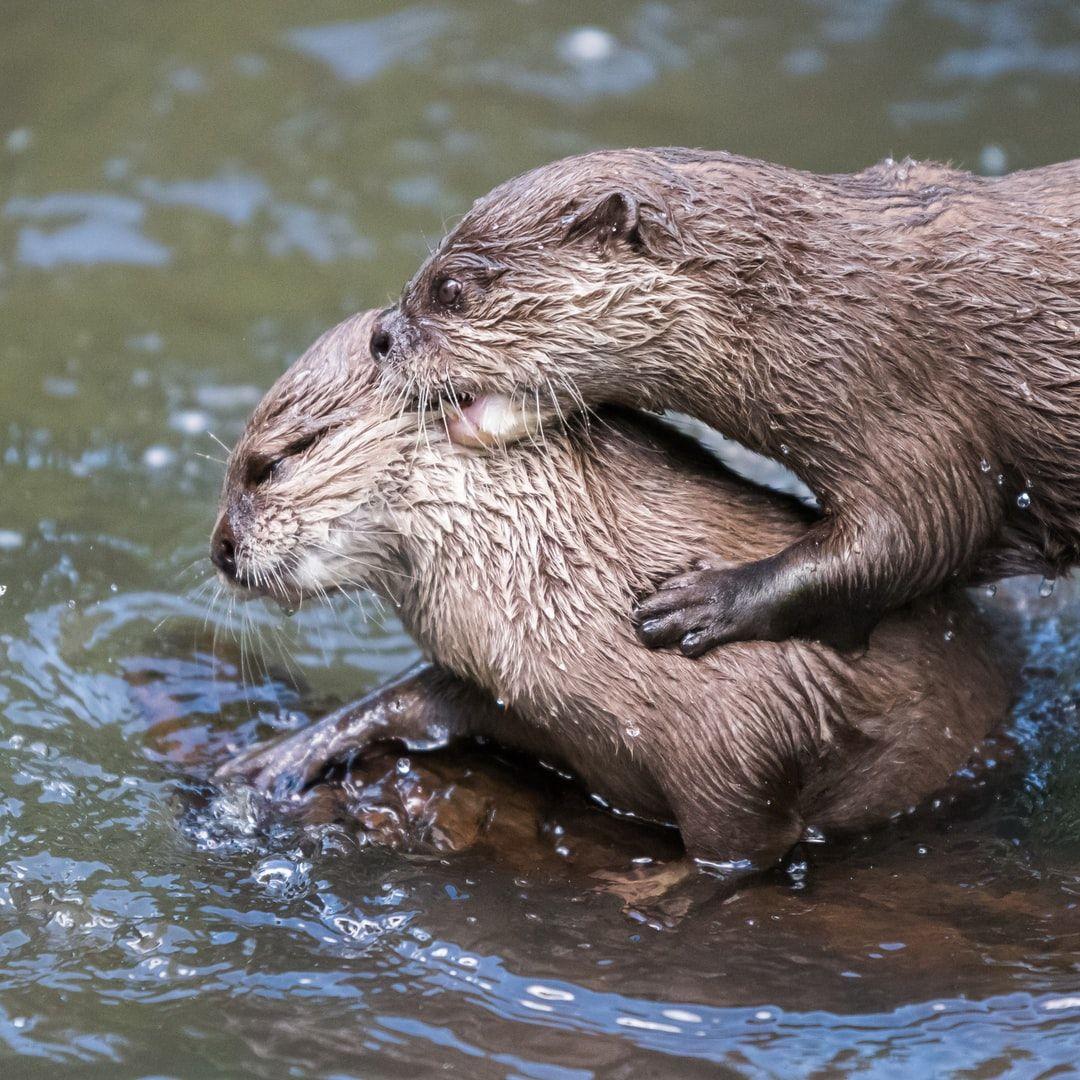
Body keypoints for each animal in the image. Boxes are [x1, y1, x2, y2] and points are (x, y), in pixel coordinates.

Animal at [210, 310, 1010, 875]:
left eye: (274, 462)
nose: (219, 547)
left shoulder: (746, 733)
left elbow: (742, 850)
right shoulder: (514, 685)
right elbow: (415, 698)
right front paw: (279, 755)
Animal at [367, 147, 1080, 656]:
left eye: (451, 289)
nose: (379, 335)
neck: (823, 303)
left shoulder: (907, 395)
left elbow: (923, 530)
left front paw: (709, 602)